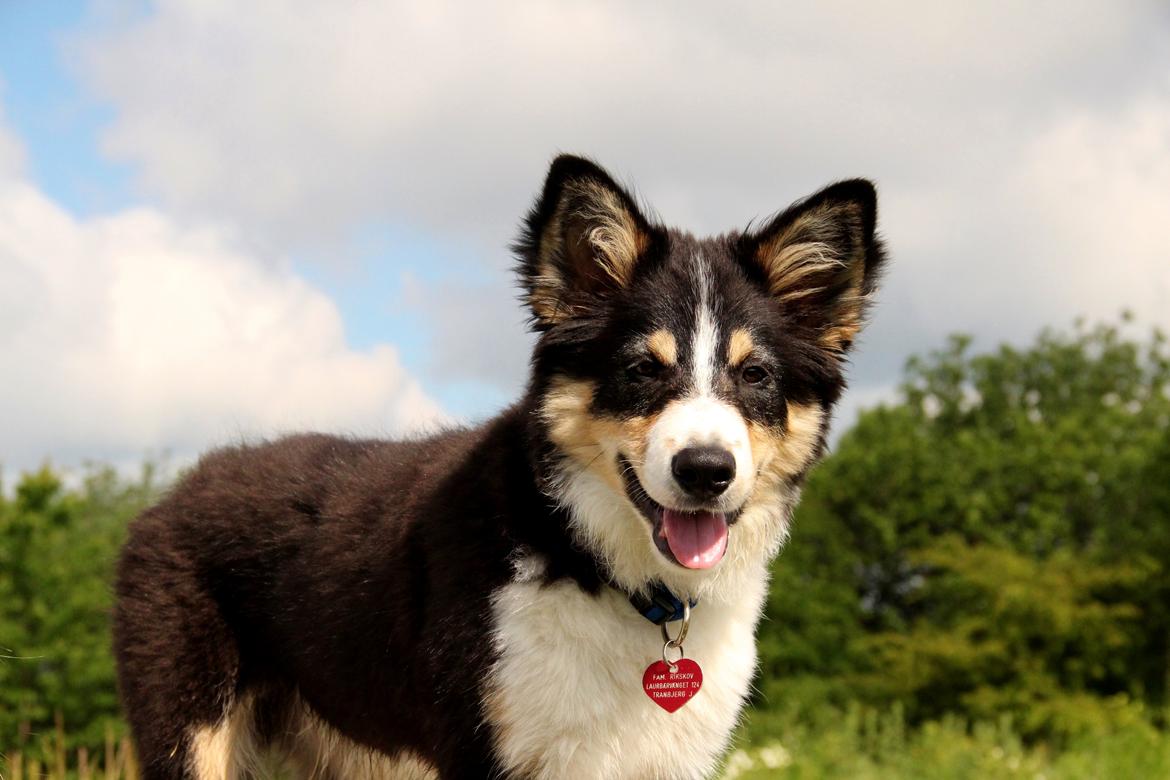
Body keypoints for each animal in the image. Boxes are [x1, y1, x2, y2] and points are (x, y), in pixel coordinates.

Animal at [116, 155, 884, 776]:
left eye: (755, 375)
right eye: (641, 369)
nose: (705, 470)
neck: (601, 565)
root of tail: (177, 490)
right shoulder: (485, 748)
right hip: (192, 732)